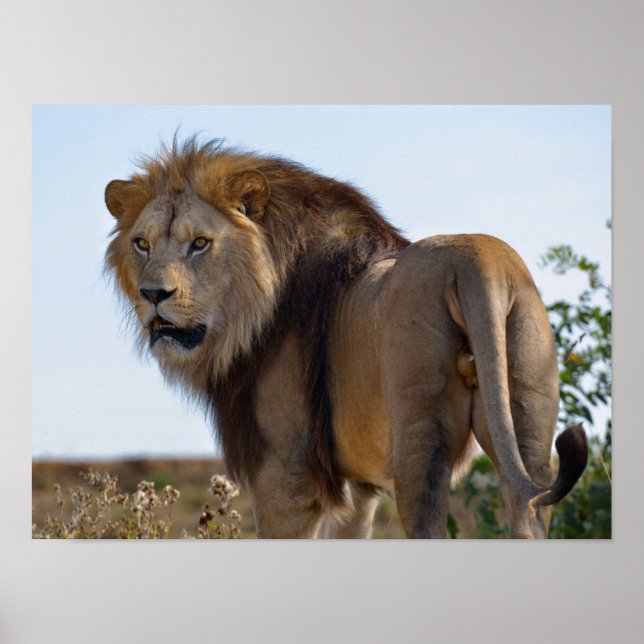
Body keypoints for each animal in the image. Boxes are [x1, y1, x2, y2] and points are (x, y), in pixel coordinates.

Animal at [104, 137, 588, 538]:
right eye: (142, 244)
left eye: (201, 243)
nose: (153, 295)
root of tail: (476, 262)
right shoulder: (358, 486)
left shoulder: (286, 476)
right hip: (526, 415)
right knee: (528, 510)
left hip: (419, 436)